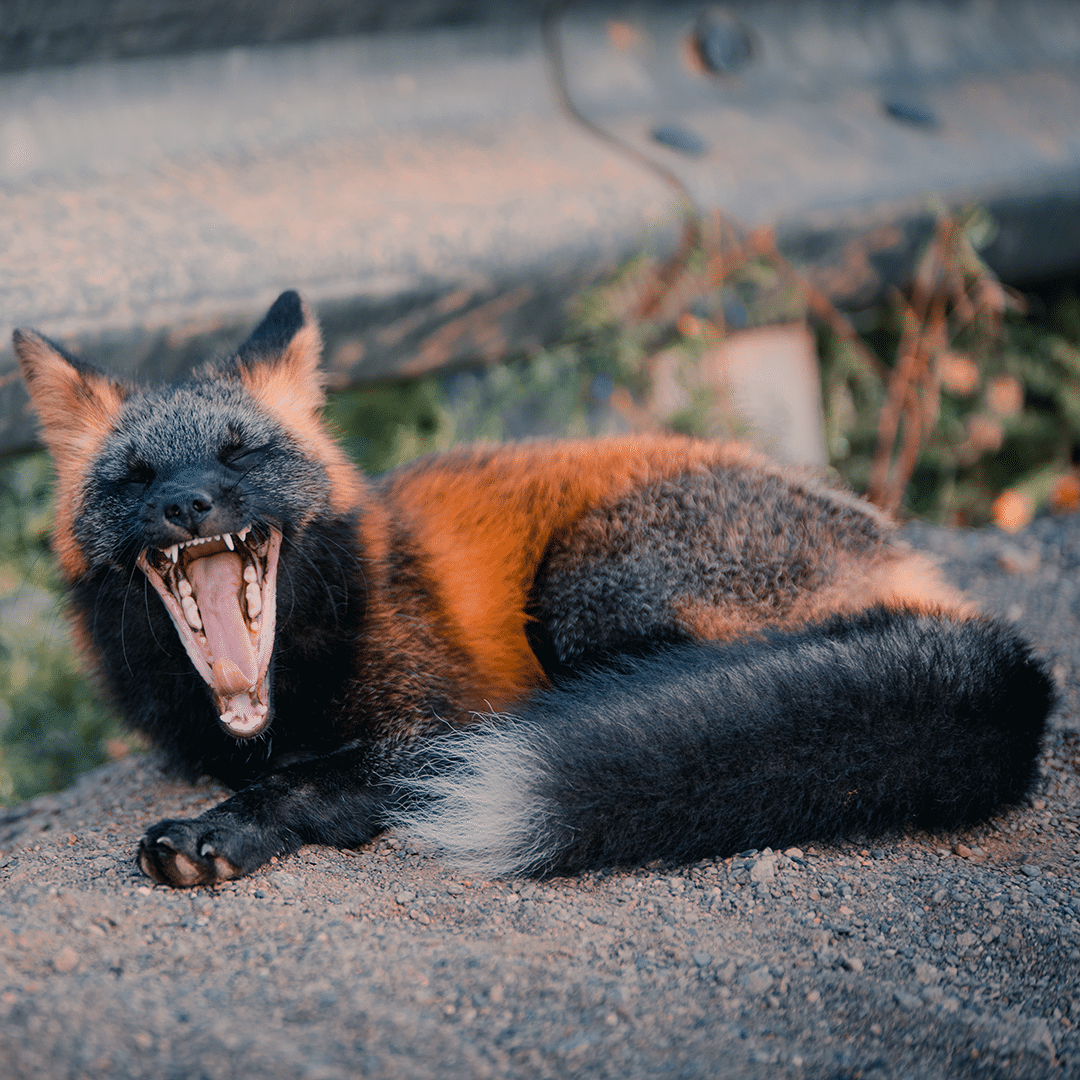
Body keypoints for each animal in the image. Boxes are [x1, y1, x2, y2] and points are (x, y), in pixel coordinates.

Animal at [13, 290, 1053, 888]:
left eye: (242, 454)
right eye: (135, 476)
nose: (188, 504)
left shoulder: (435, 729)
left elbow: (306, 781)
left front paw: (223, 829)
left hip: (585, 589)